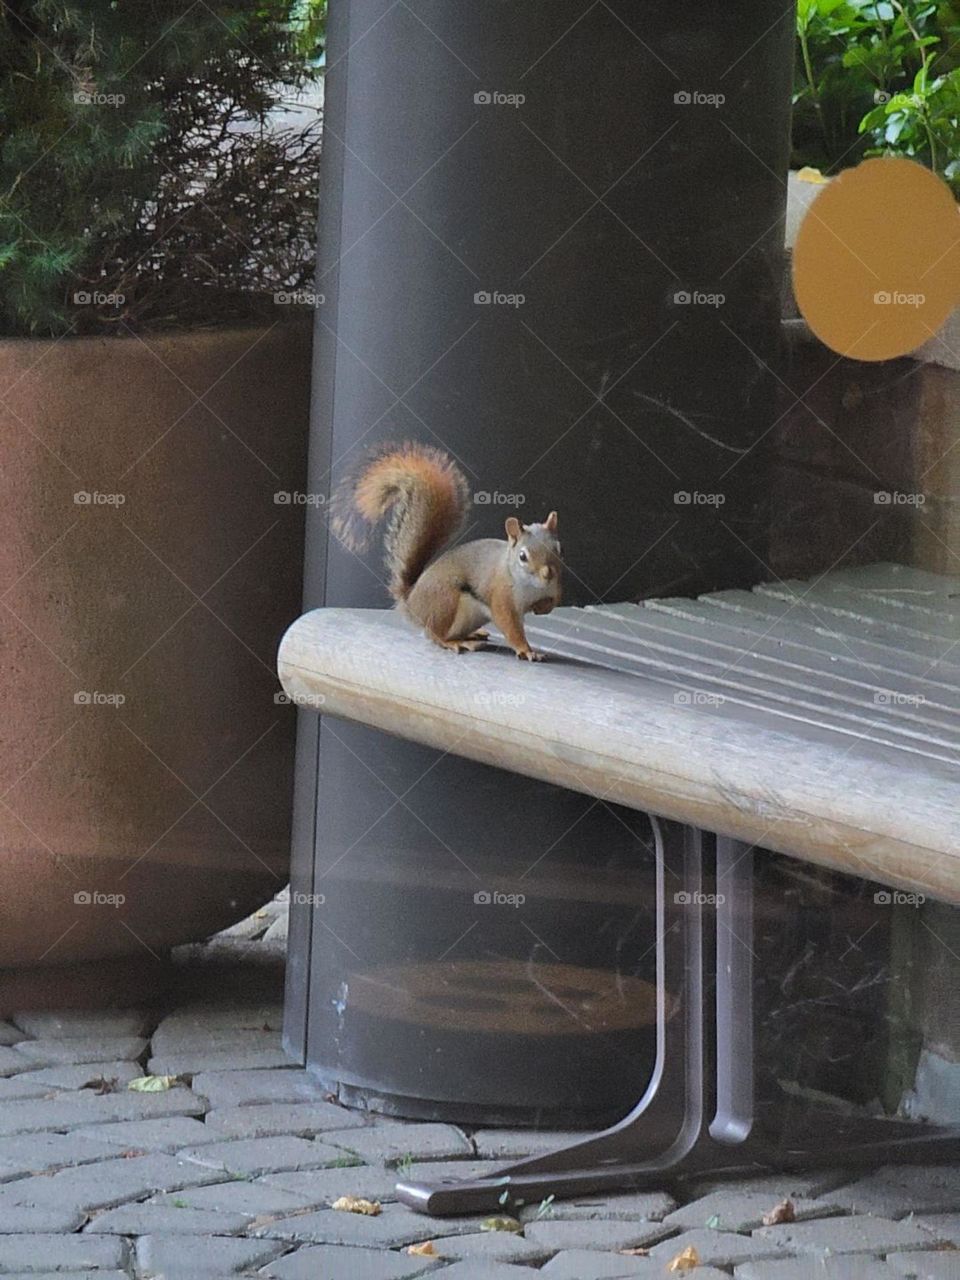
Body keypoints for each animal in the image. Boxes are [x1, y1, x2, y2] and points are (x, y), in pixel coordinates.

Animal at [330, 441, 562, 661]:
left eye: (558, 548)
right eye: (523, 556)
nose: (548, 574)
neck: (530, 585)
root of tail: (412, 602)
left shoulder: (554, 589)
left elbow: (553, 602)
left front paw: (542, 607)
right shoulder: (502, 596)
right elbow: (510, 626)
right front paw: (527, 651)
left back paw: (473, 634)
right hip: (446, 603)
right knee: (434, 634)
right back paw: (456, 642)